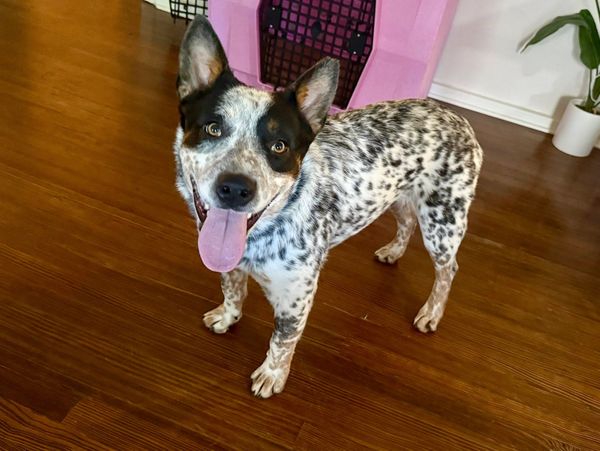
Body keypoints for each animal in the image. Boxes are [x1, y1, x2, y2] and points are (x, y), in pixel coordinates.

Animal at [173, 15, 483, 398]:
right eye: (213, 128)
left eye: (279, 146)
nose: (235, 189)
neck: (262, 235)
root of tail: (457, 118)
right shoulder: (231, 265)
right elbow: (232, 290)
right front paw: (228, 316)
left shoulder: (297, 296)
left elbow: (282, 340)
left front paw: (272, 375)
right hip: (398, 197)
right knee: (406, 223)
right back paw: (393, 252)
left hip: (442, 224)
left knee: (448, 270)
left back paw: (432, 312)